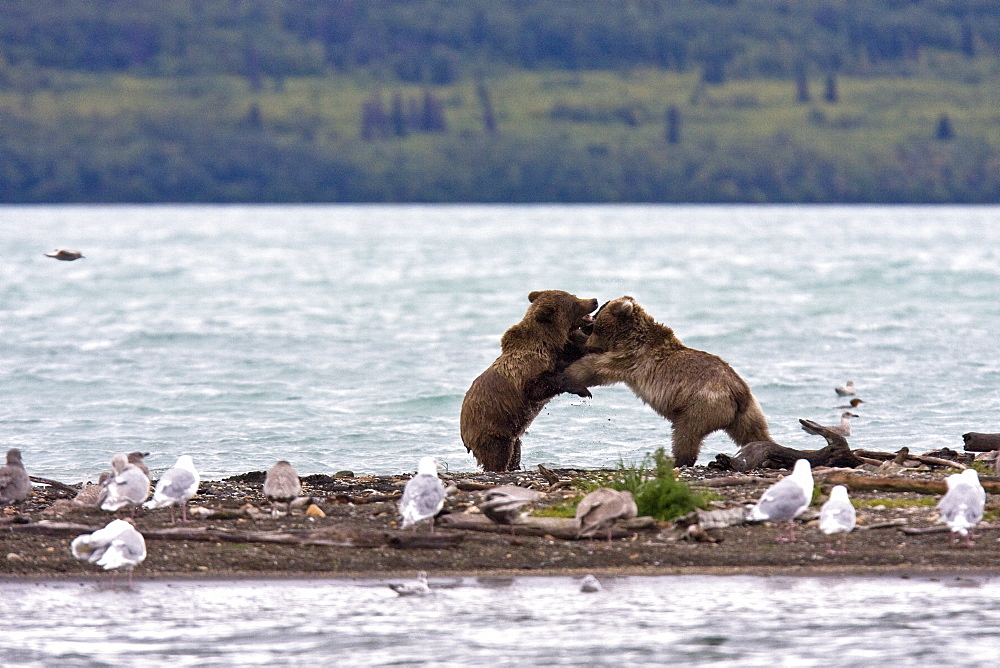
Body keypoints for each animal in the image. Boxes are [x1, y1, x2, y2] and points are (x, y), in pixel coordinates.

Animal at [458, 290, 596, 472]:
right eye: (574, 302)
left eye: (574, 294)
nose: (594, 300)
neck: (547, 342)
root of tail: (463, 432)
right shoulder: (527, 369)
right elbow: (538, 387)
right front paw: (583, 390)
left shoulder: (559, 353)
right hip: (491, 429)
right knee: (498, 454)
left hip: (511, 435)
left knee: (515, 452)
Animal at [568, 294, 768, 468]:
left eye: (602, 308)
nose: (589, 321)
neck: (627, 336)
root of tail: (738, 389)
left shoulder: (630, 359)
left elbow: (594, 367)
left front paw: (570, 375)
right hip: (748, 412)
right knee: (754, 433)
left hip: (701, 405)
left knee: (686, 434)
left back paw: (676, 460)